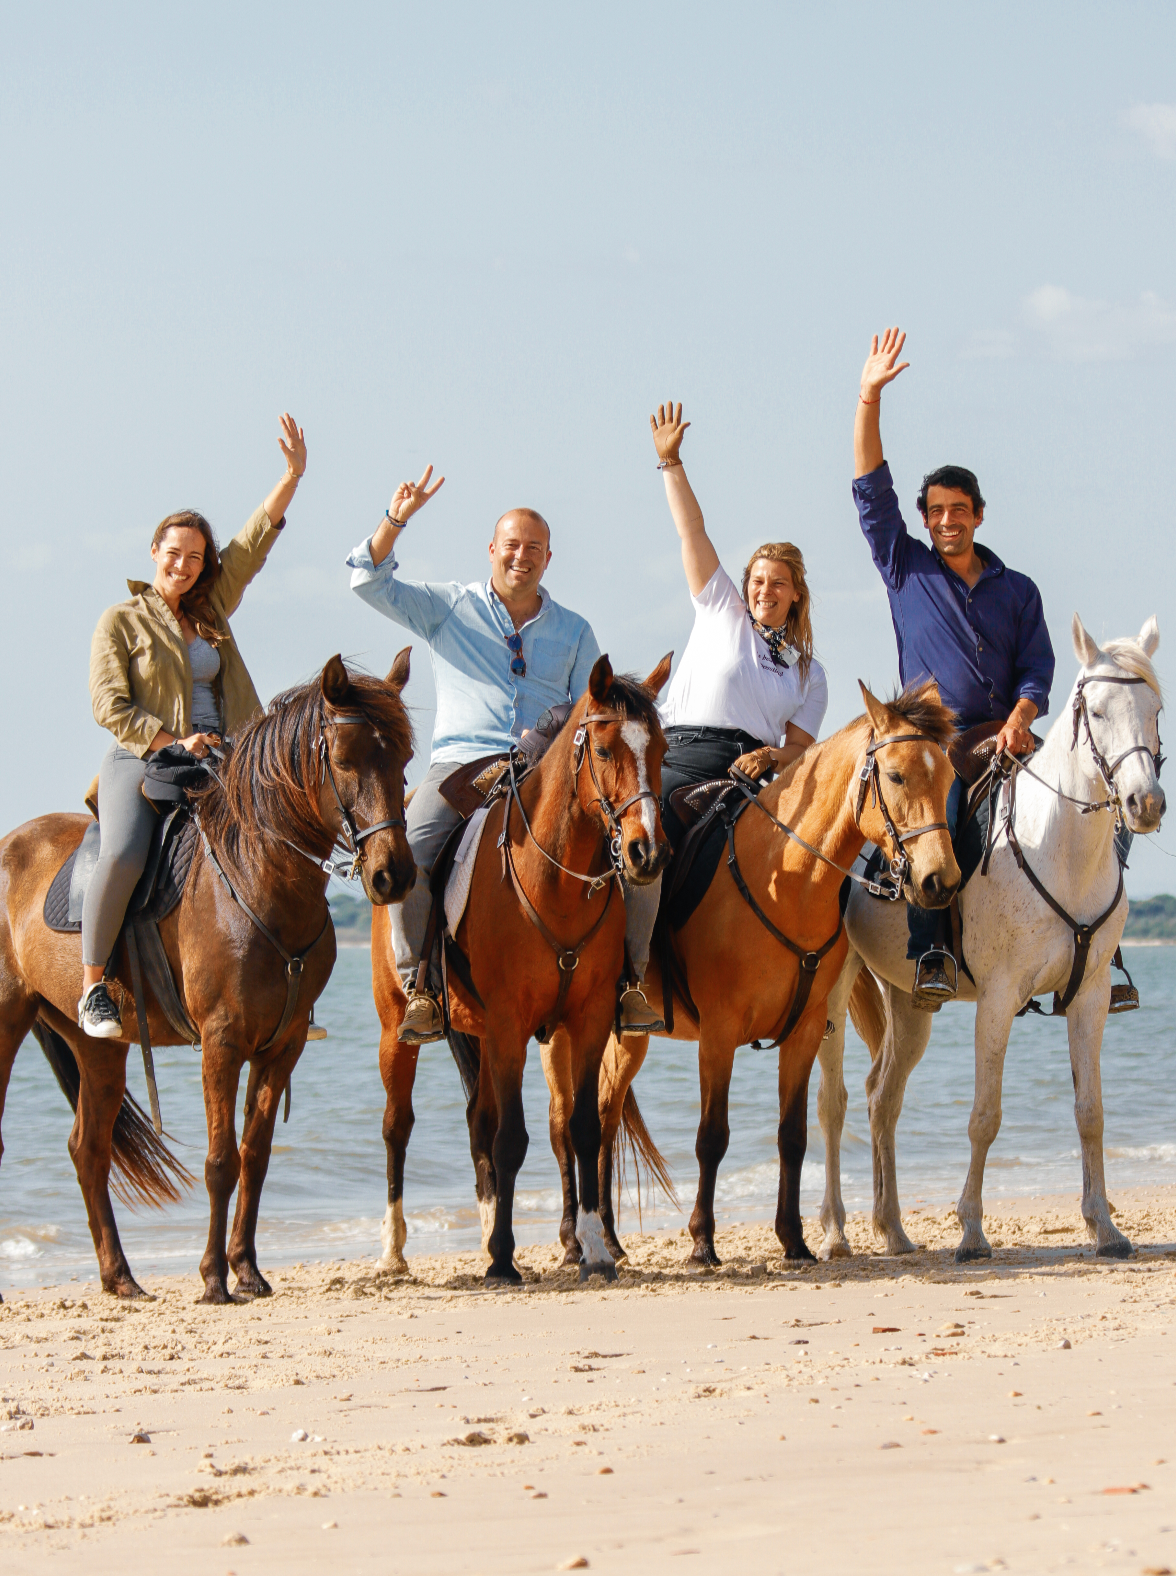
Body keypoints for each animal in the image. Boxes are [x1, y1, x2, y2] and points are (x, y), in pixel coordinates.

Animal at [0, 652, 416, 1304]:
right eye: (345, 759)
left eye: (402, 758)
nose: (391, 876)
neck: (257, 879)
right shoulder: (221, 1043)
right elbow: (221, 1161)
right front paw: (215, 1279)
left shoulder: (282, 1047)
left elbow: (256, 1154)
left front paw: (248, 1270)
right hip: (7, 1020)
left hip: (100, 1050)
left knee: (88, 1149)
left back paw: (121, 1278)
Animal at [375, 652, 668, 1279]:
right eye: (603, 750)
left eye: (659, 750)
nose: (647, 852)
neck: (552, 877)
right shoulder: (510, 1023)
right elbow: (511, 1138)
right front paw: (504, 1261)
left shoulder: (585, 1021)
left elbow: (582, 1129)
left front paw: (593, 1250)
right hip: (400, 1032)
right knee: (398, 1128)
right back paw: (394, 1250)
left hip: (481, 1036)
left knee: (478, 1120)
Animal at [819, 608, 1160, 1260]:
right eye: (1097, 711)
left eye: (1155, 707)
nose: (1144, 802)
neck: (1058, 849)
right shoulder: (999, 998)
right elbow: (985, 1116)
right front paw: (972, 1231)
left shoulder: (1091, 998)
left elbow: (1091, 1112)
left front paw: (1104, 1226)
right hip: (831, 989)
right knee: (833, 1102)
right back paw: (834, 1232)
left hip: (910, 1003)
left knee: (882, 1099)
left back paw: (892, 1228)